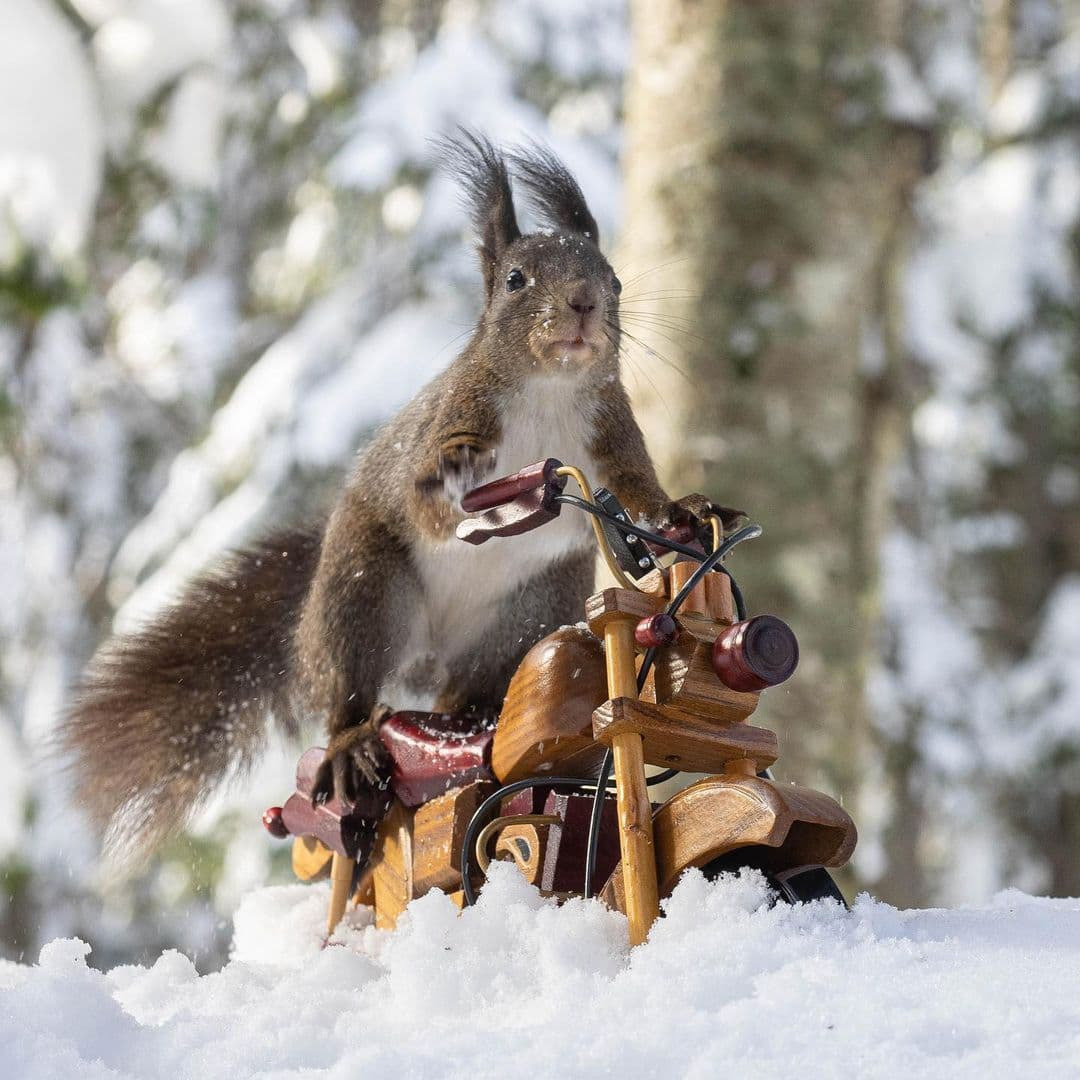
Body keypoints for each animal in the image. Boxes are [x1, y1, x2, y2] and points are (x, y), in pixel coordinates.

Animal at [63, 130, 738, 864]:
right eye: (516, 280)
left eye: (614, 280)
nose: (586, 301)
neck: (551, 388)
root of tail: (429, 654)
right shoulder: (447, 422)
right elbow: (427, 501)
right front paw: (464, 482)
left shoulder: (612, 437)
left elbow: (641, 498)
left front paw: (688, 513)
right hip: (365, 594)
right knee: (352, 690)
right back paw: (352, 743)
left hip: (527, 613)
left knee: (470, 692)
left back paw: (477, 715)